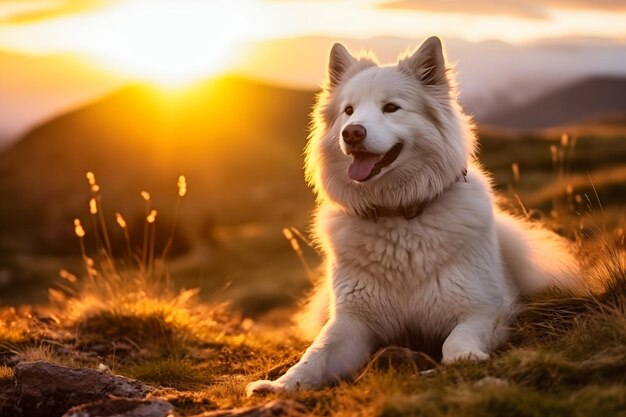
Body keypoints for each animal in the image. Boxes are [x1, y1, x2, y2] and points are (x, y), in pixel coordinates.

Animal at [246, 35, 584, 394]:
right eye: (348, 111)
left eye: (391, 108)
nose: (351, 132)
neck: (397, 215)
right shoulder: (351, 321)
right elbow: (316, 353)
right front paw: (280, 384)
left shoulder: (482, 310)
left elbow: (455, 340)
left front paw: (462, 359)